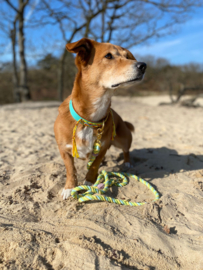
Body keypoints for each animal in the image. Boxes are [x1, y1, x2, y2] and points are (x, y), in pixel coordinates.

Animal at [54, 37, 146, 198]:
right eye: (108, 56)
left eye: (127, 56)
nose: (143, 65)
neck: (89, 120)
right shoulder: (64, 149)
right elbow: (70, 170)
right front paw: (69, 187)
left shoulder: (103, 147)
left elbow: (94, 165)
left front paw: (90, 182)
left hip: (122, 139)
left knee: (126, 150)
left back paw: (127, 162)